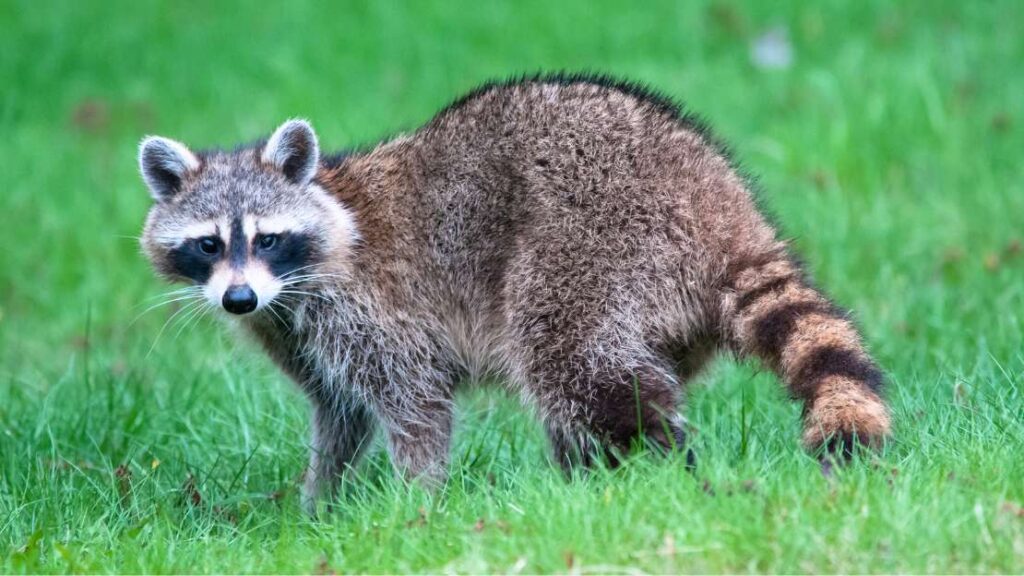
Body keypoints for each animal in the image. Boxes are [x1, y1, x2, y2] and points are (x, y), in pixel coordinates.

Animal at [138, 74, 890, 510]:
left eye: (266, 239)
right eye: (208, 245)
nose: (238, 301)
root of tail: (719, 205)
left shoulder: (370, 311)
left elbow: (416, 406)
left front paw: (417, 507)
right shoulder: (298, 330)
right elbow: (340, 415)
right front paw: (319, 504)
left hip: (593, 241)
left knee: (578, 368)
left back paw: (654, 472)